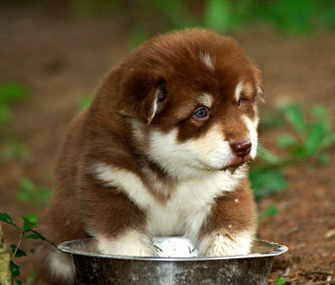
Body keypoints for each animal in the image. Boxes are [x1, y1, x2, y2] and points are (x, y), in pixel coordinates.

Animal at [35, 28, 264, 282]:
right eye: (201, 112)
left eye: (240, 101)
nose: (244, 146)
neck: (172, 170)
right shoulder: (108, 185)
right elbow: (129, 246)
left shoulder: (224, 193)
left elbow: (227, 239)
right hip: (56, 248)